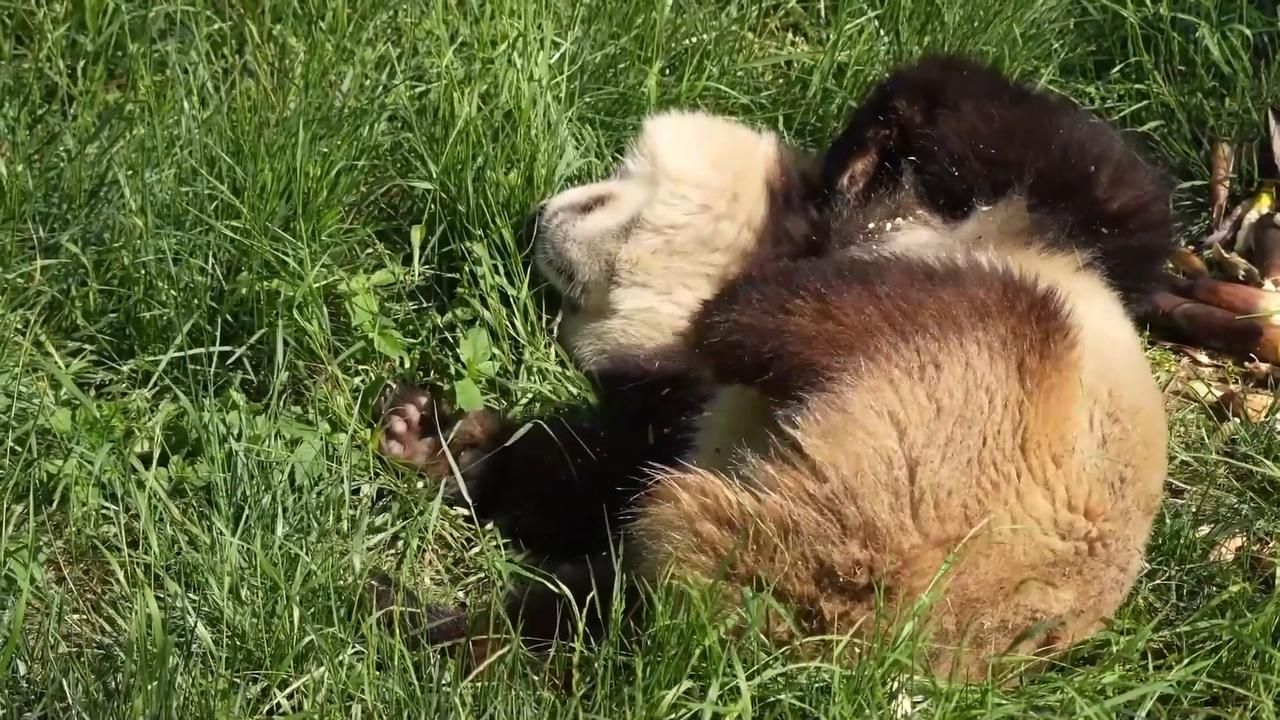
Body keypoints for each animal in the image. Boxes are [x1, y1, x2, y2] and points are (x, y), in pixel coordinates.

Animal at [369, 54, 1173, 682]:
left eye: (605, 192)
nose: (536, 217)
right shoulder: (677, 416)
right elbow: (594, 479)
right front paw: (443, 439)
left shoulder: (1064, 232)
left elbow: (1091, 170)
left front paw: (864, 151)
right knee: (592, 631)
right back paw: (406, 618)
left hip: (995, 365)